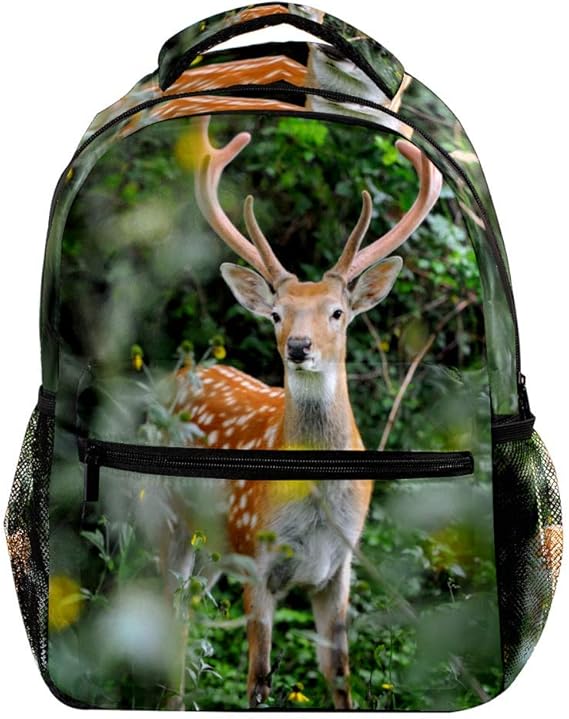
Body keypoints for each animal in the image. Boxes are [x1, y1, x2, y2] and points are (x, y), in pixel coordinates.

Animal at [171, 115, 442, 708]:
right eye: (276, 314)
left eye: (337, 312)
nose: (298, 346)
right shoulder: (257, 563)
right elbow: (258, 681)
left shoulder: (339, 570)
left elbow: (340, 676)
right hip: (164, 518)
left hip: (210, 552)